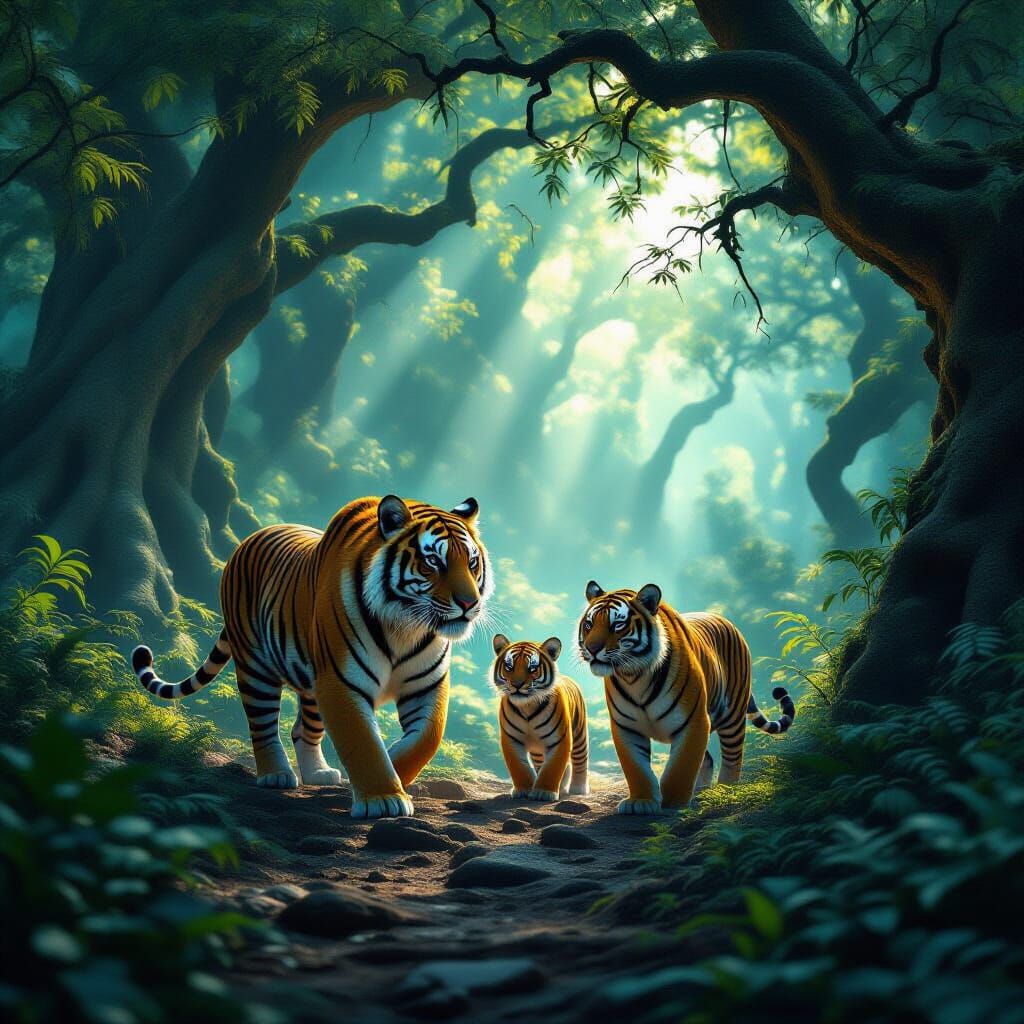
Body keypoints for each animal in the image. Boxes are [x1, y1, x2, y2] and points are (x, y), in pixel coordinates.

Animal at [132, 495, 492, 819]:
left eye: (471, 562)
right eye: (433, 562)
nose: (469, 603)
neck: (406, 627)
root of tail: (250, 538)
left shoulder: (426, 685)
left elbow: (426, 740)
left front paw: (394, 773)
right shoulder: (342, 682)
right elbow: (362, 741)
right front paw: (383, 798)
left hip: (313, 681)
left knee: (302, 729)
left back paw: (318, 773)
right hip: (256, 667)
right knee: (262, 724)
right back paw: (275, 775)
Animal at [491, 634, 590, 801]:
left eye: (533, 668)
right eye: (509, 667)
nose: (517, 684)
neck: (527, 706)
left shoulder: (560, 739)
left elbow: (553, 767)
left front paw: (544, 793)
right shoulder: (511, 739)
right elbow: (518, 766)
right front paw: (524, 789)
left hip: (579, 734)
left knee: (580, 759)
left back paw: (579, 788)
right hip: (538, 751)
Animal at [577, 580, 795, 815]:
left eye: (617, 625)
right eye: (589, 625)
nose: (591, 648)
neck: (635, 677)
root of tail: (728, 621)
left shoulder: (694, 721)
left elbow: (681, 766)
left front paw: (675, 803)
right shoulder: (626, 727)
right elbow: (636, 767)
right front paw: (641, 801)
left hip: (733, 716)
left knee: (732, 757)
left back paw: (725, 791)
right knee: (708, 758)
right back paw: (701, 792)